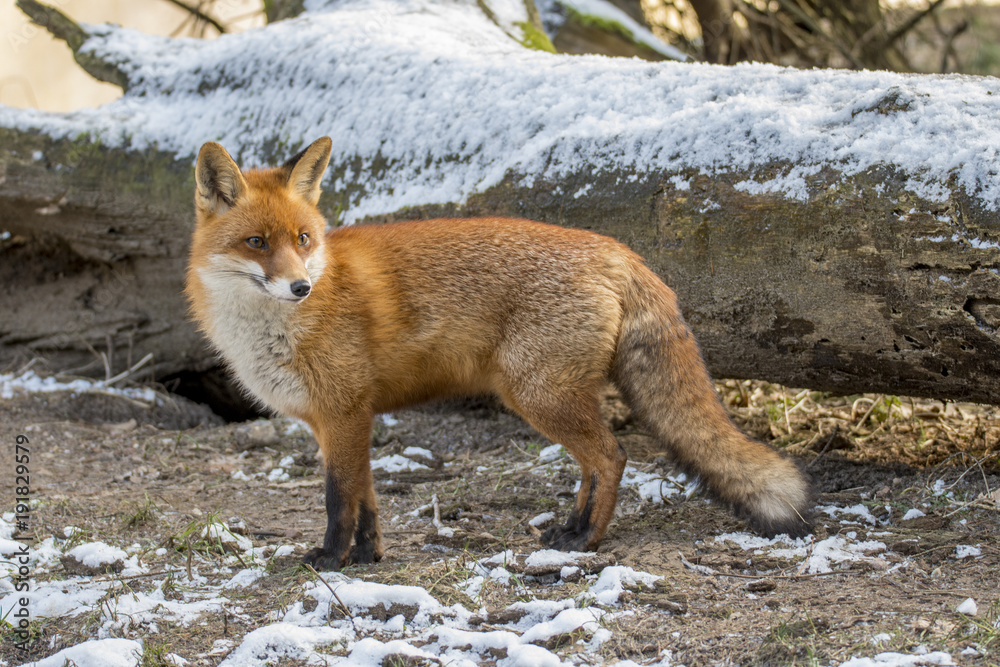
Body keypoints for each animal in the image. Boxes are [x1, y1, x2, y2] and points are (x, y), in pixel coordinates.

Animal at [186, 136, 812, 570]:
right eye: (257, 243)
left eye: (303, 240)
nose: (300, 287)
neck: (274, 330)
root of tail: (617, 249)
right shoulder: (338, 419)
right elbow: (367, 499)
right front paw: (367, 557)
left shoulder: (343, 413)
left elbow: (339, 499)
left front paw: (330, 561)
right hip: (548, 396)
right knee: (594, 464)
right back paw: (568, 529)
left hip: (536, 395)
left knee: (611, 458)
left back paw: (587, 539)